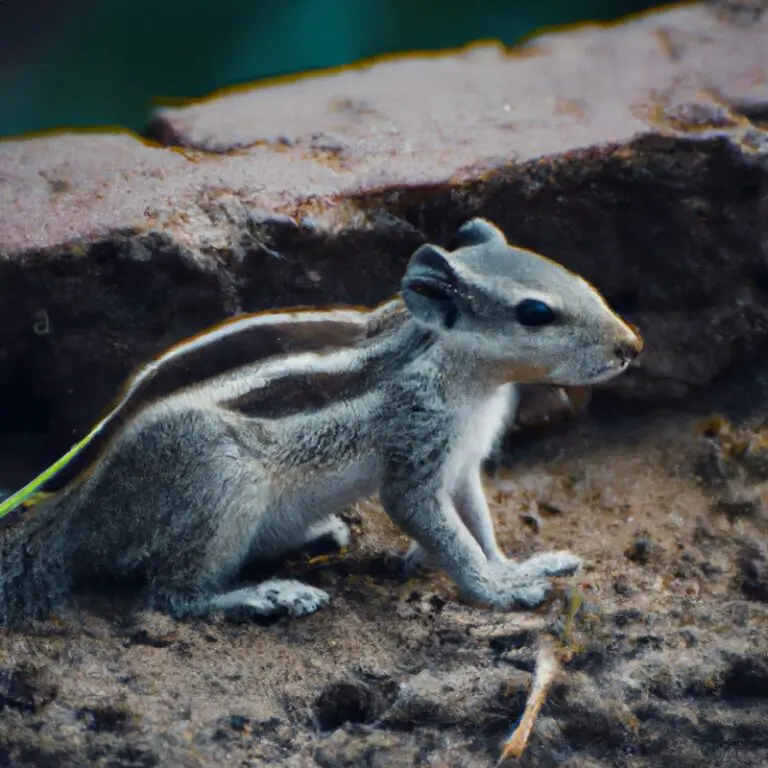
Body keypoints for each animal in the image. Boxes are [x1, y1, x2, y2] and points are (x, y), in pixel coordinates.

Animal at [0, 219, 640, 628]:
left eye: (572, 276)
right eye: (535, 313)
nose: (632, 346)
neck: (466, 374)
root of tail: (72, 519)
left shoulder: (462, 463)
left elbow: (478, 521)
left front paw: (512, 565)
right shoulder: (416, 450)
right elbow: (441, 529)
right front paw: (497, 591)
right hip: (217, 480)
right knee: (168, 598)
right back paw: (263, 598)